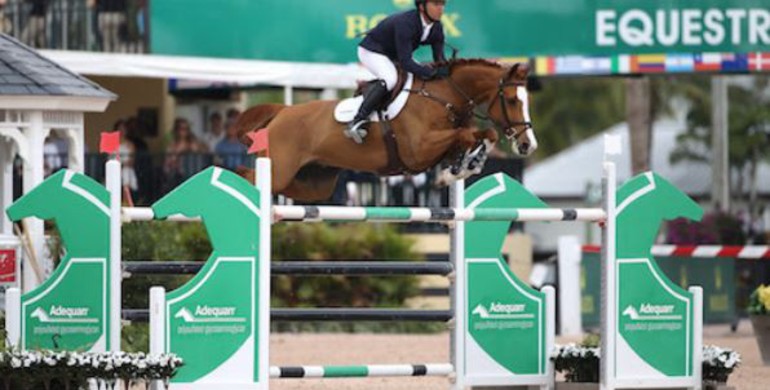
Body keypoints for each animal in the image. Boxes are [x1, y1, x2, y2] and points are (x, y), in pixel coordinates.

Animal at [234, 60, 536, 204]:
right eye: (512, 100)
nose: (527, 146)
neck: (443, 98)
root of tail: (283, 111)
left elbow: (483, 135)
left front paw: (464, 166)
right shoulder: (419, 151)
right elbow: (465, 135)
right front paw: (457, 170)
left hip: (315, 183)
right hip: (280, 168)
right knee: (250, 175)